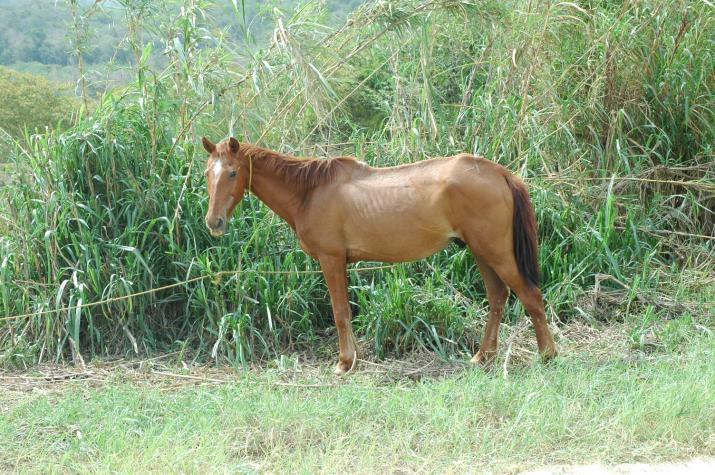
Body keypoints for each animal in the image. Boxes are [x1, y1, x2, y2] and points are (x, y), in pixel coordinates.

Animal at [203, 136, 560, 374]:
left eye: (232, 172)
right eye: (208, 173)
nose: (214, 222)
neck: (310, 191)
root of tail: (500, 173)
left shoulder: (331, 260)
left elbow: (340, 312)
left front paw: (344, 363)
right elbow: (347, 312)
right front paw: (354, 358)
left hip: (495, 252)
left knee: (530, 295)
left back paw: (547, 355)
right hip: (482, 252)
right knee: (498, 298)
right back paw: (483, 356)